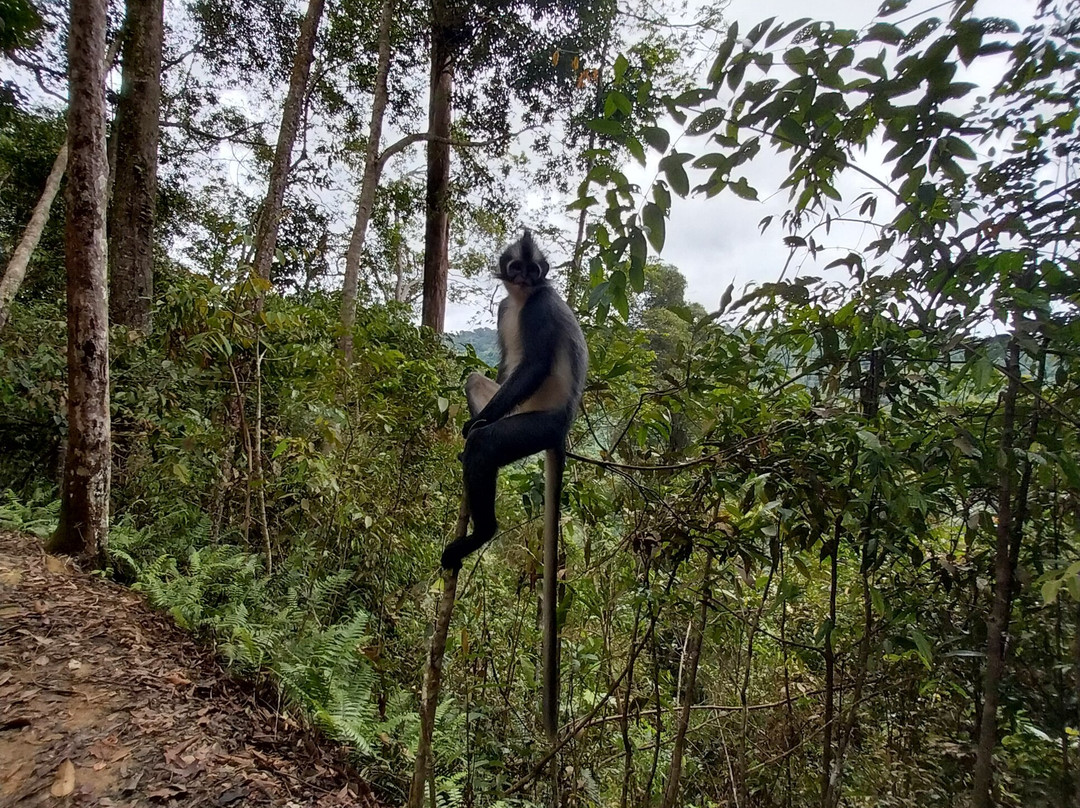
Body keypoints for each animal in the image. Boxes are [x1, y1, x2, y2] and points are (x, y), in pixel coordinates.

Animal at [441, 228, 587, 738]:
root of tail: (561, 430)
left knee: (488, 443)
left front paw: (473, 428)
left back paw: (482, 530)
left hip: (534, 426)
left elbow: (534, 366)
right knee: (476, 382)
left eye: (534, 270)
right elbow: (503, 369)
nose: (524, 278)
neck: (522, 300)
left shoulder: (539, 305)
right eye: (516, 268)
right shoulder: (508, 307)